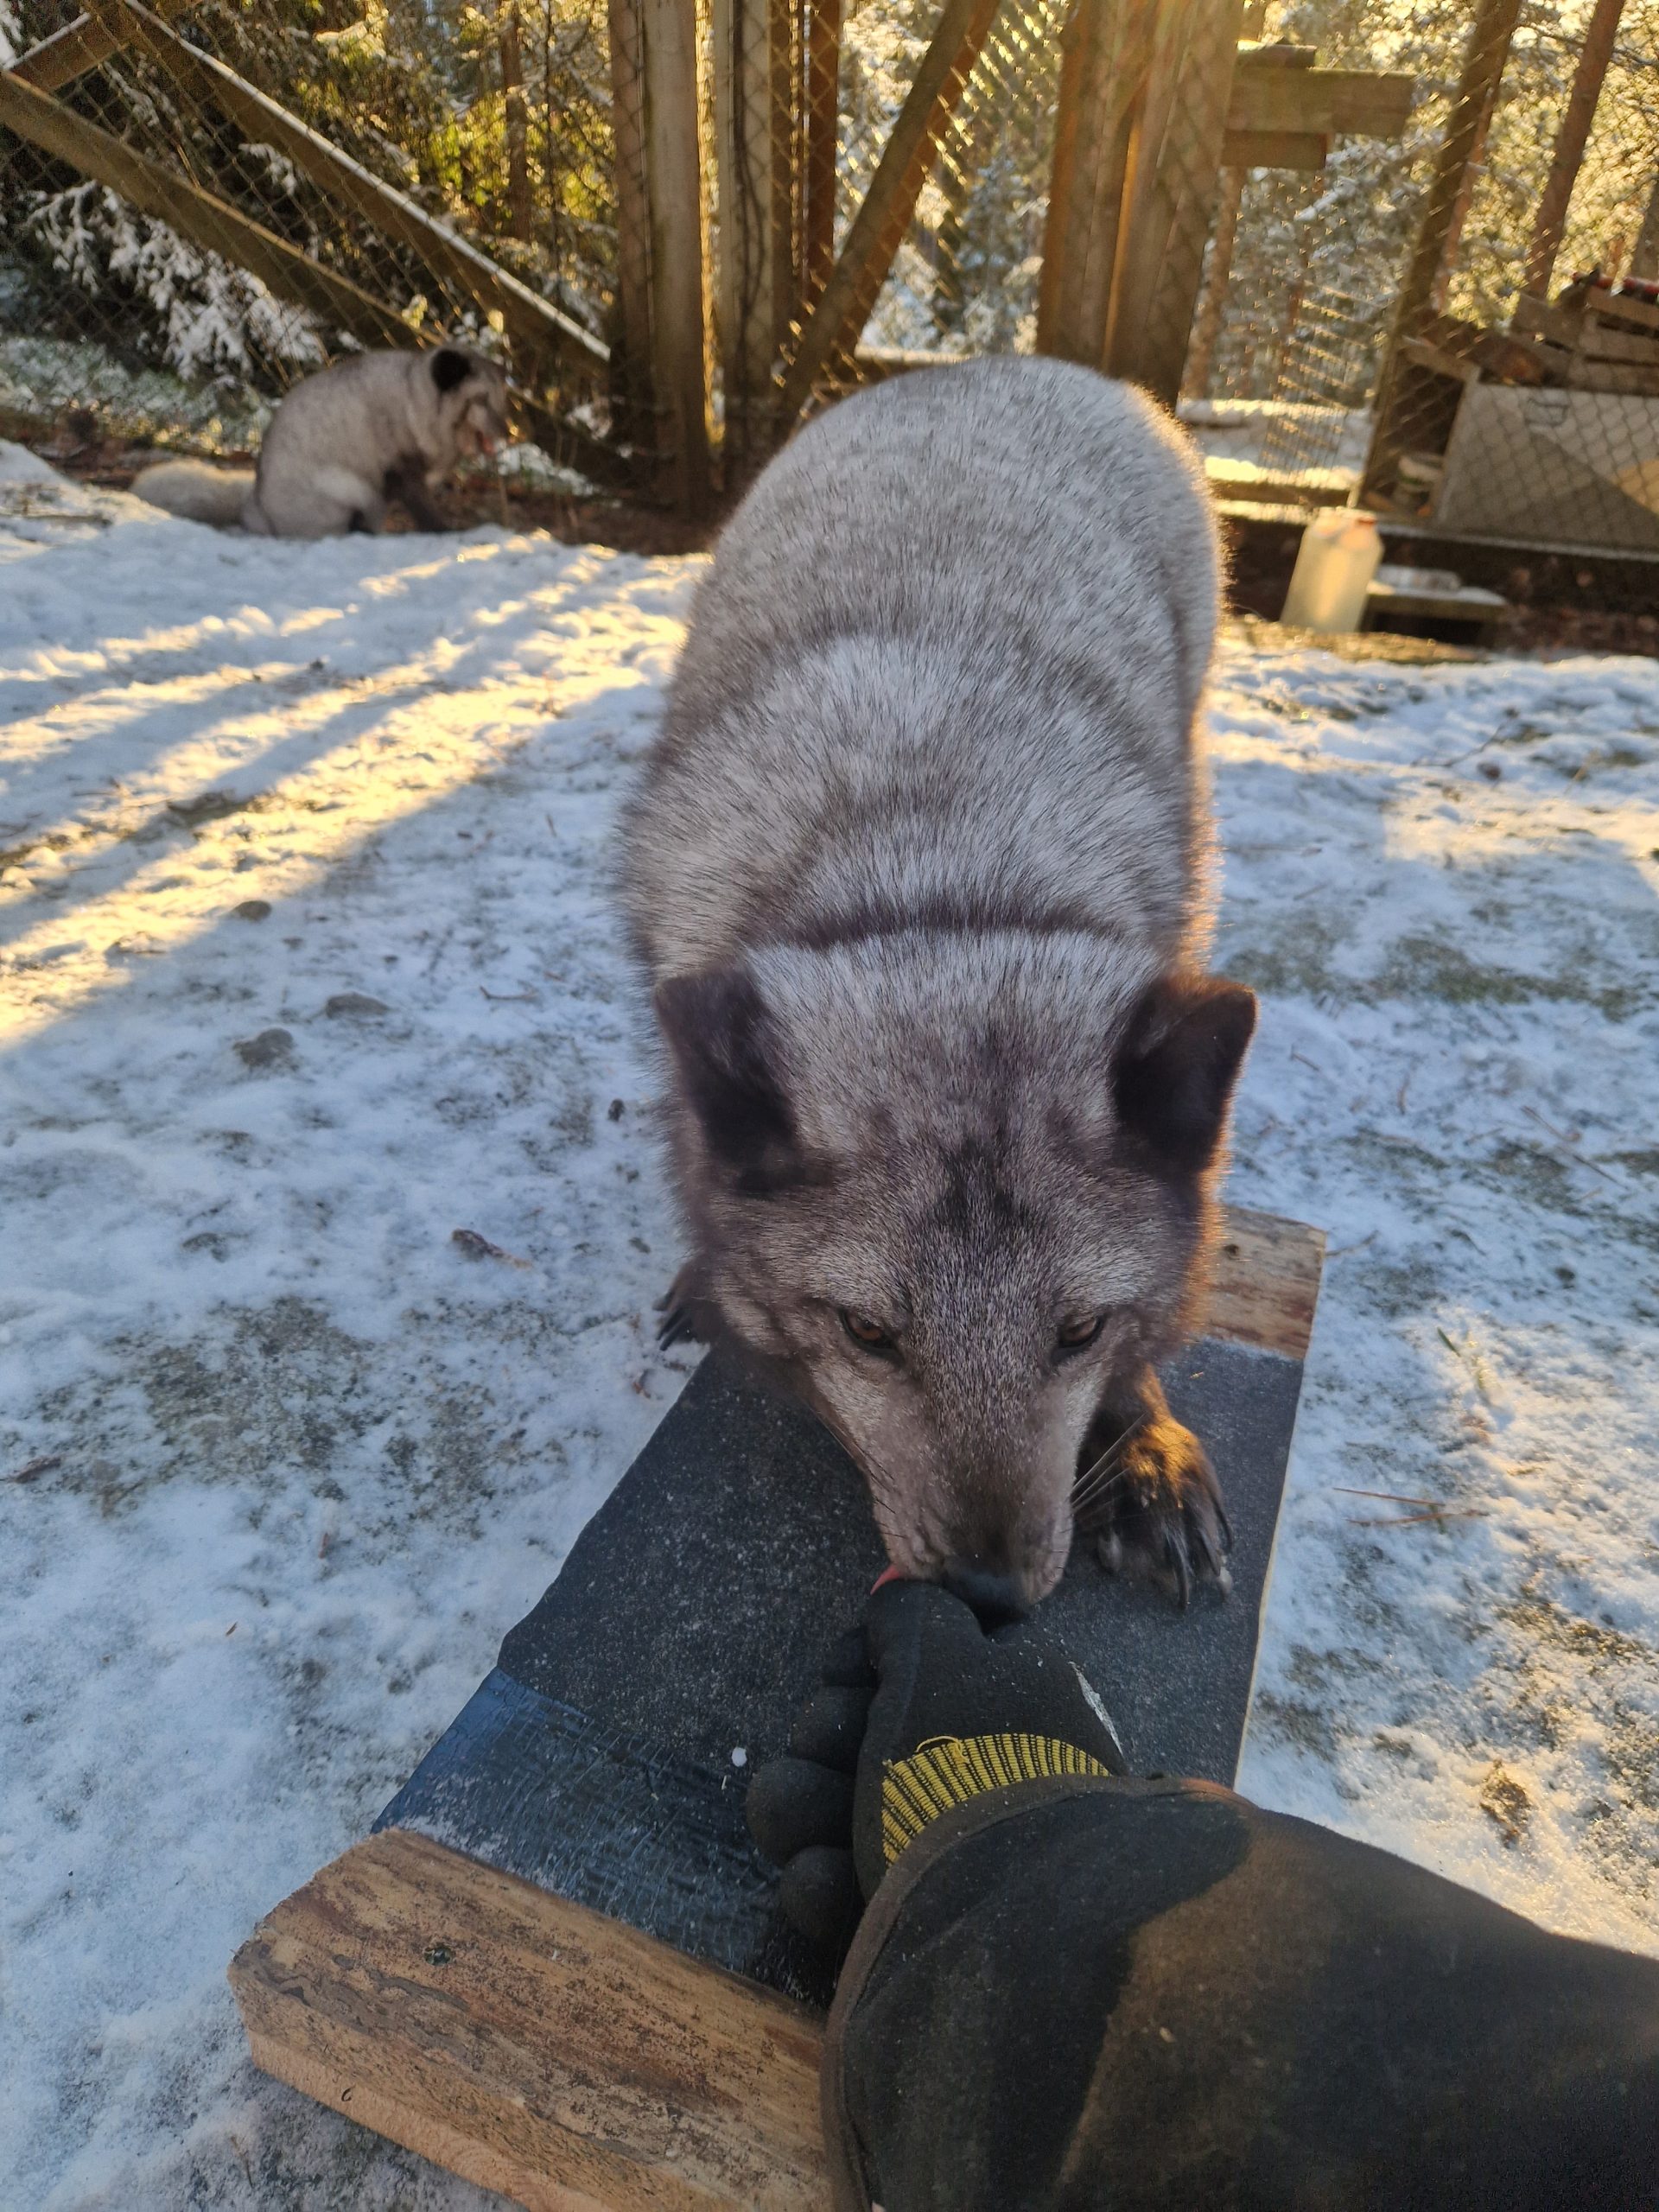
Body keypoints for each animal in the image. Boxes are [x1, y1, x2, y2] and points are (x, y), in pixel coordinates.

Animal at [135, 345, 506, 539]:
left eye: (502, 400)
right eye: (481, 400)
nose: (509, 432)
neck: (416, 400)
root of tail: (254, 506)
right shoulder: (401, 470)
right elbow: (427, 512)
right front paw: (448, 534)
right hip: (348, 487)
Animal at [623, 358, 1256, 1610]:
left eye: (1079, 1330)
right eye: (870, 1334)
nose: (986, 1597)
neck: (937, 866)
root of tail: (1005, 365)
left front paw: (1147, 1441)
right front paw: (704, 1279)